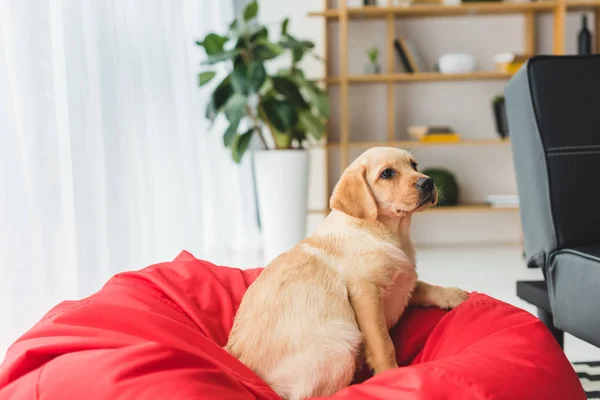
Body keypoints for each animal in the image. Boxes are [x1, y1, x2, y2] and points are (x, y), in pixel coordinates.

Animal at [225, 147, 468, 400]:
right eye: (387, 173)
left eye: (414, 165)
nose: (428, 182)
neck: (382, 230)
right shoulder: (365, 293)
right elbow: (383, 344)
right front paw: (390, 375)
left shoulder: (402, 280)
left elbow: (422, 285)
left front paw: (452, 295)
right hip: (342, 343)